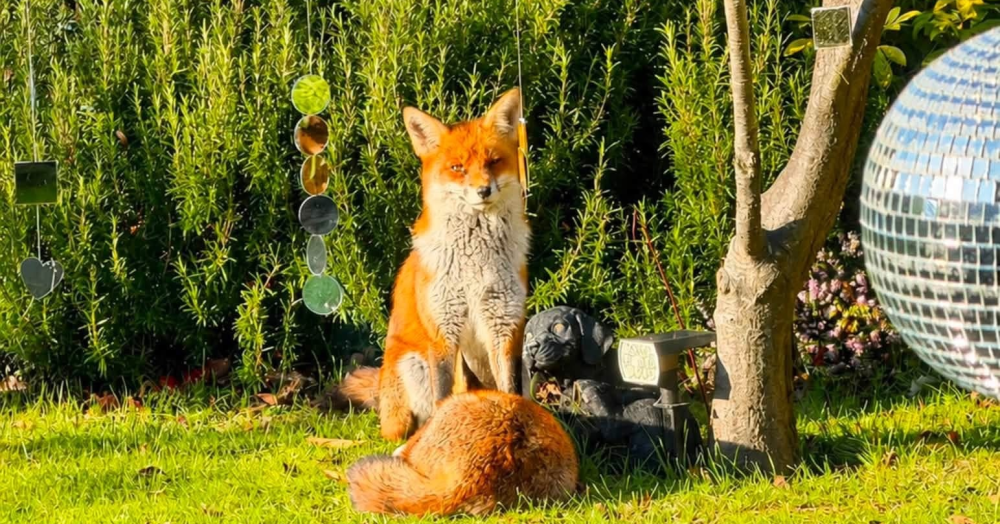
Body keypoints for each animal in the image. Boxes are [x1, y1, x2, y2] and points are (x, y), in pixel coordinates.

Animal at [334, 88, 531, 441]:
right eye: (457, 167)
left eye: (493, 162)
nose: (484, 190)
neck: (474, 262)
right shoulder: (443, 330)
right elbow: (443, 395)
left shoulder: (503, 325)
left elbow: (509, 390)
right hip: (412, 368)